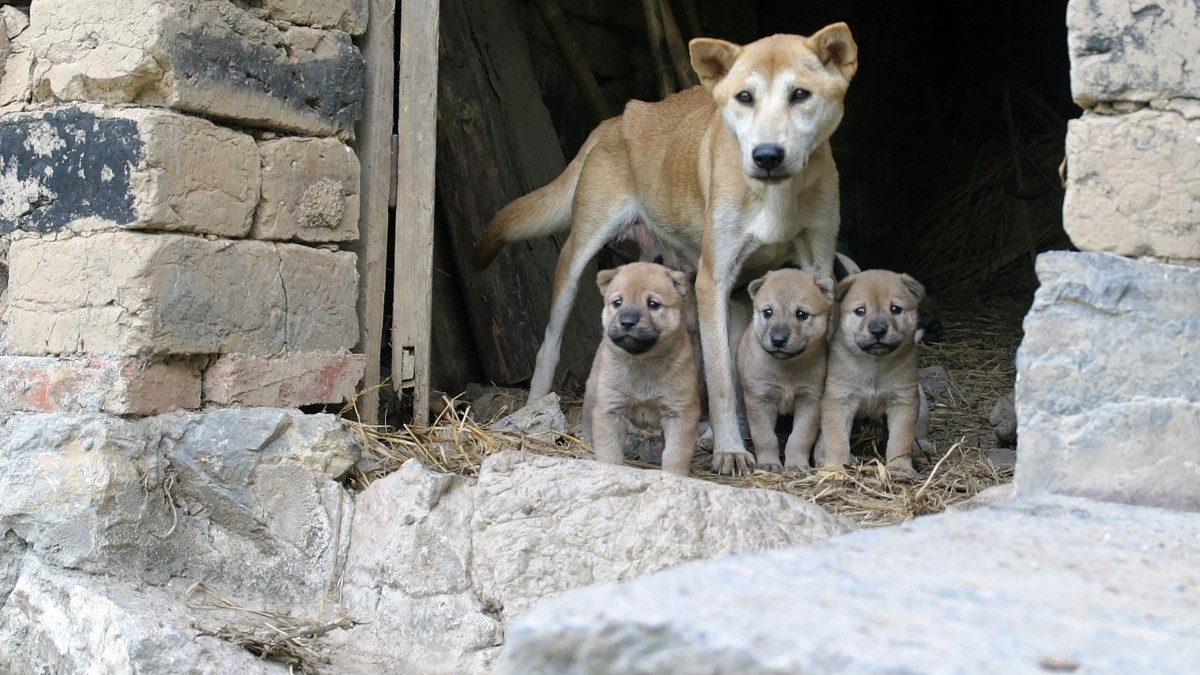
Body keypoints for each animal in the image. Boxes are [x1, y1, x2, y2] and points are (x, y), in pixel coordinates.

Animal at [578, 260, 700, 475]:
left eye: (653, 304)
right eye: (617, 302)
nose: (627, 322)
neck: (642, 362)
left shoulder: (680, 412)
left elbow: (675, 455)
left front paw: (675, 476)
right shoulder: (610, 410)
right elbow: (609, 450)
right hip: (594, 390)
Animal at [729, 266, 835, 468]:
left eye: (801, 314)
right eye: (768, 312)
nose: (778, 340)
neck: (787, 368)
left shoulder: (810, 400)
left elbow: (800, 437)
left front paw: (796, 464)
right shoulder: (759, 399)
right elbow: (765, 437)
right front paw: (769, 463)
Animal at [820, 267, 931, 473]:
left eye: (895, 309)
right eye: (860, 311)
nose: (878, 330)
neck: (874, 366)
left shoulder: (903, 402)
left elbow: (900, 440)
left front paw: (900, 467)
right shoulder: (839, 400)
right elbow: (837, 439)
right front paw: (836, 467)